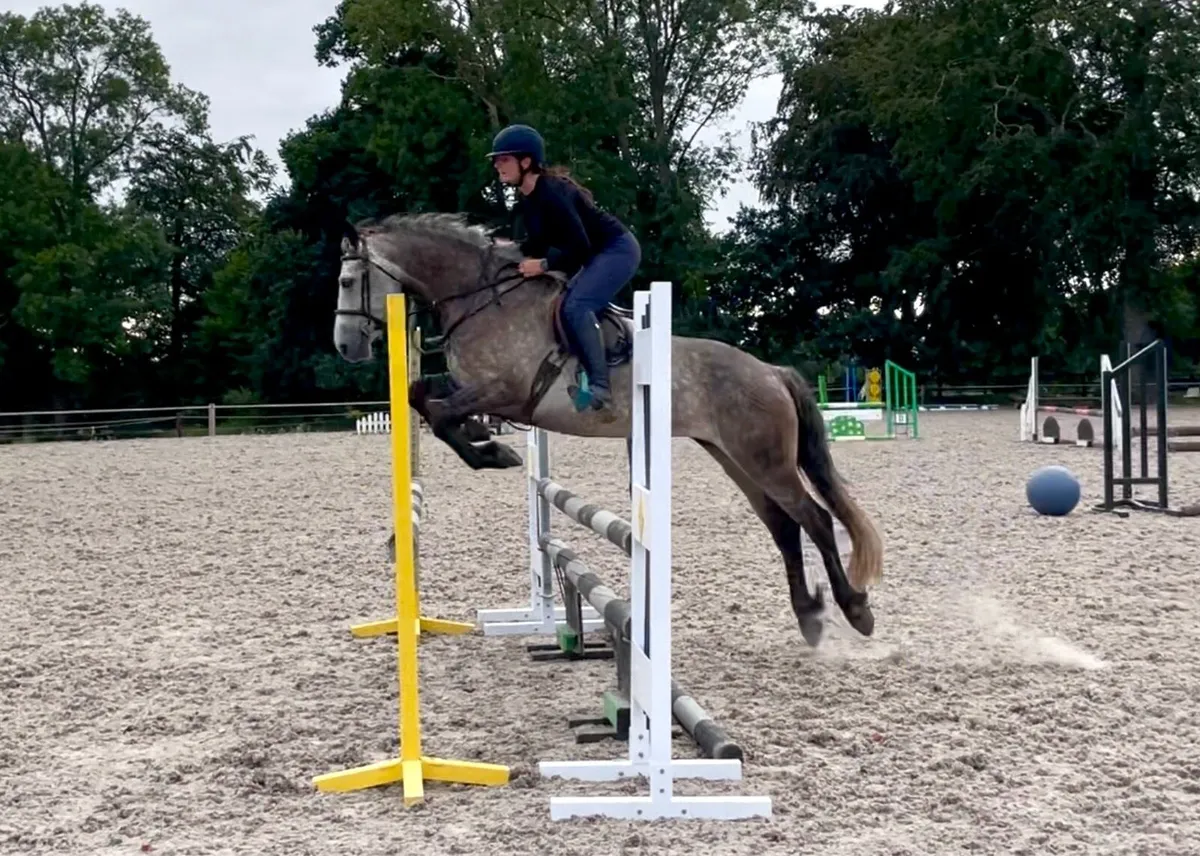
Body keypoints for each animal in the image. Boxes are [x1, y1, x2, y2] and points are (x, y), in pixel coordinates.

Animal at [332, 212, 883, 646]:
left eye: (347, 282)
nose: (345, 348)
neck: (481, 299)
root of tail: (770, 371)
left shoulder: (504, 390)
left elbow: (442, 415)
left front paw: (493, 452)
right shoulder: (476, 390)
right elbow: (421, 399)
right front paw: (486, 444)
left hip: (766, 460)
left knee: (815, 519)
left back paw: (855, 609)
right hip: (735, 457)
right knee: (784, 526)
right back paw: (810, 616)